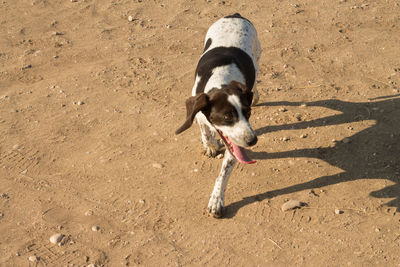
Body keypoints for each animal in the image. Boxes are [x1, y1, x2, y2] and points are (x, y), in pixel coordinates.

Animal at [177, 13, 260, 218]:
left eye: (248, 113)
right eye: (227, 117)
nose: (252, 140)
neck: (221, 81)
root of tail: (235, 15)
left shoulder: (235, 144)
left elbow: (223, 173)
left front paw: (216, 199)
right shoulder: (199, 115)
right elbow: (205, 132)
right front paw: (211, 145)